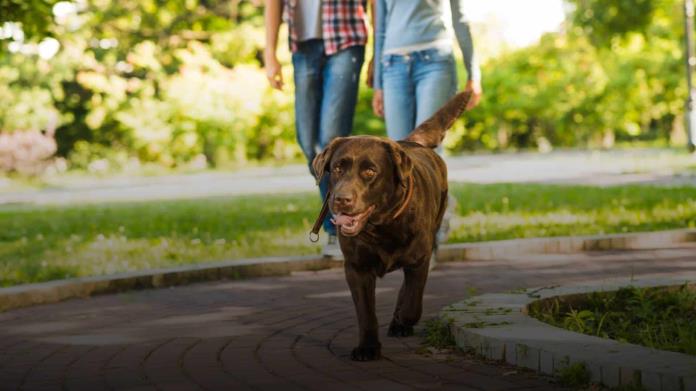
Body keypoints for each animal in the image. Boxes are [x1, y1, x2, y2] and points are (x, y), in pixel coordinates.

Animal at [312, 91, 470, 362]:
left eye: (370, 171)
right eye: (337, 168)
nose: (341, 199)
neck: (382, 226)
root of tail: (412, 142)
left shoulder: (419, 260)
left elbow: (413, 301)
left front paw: (402, 320)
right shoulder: (357, 268)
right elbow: (366, 313)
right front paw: (367, 347)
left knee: (409, 292)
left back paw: (400, 322)